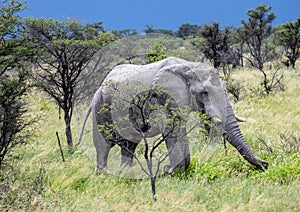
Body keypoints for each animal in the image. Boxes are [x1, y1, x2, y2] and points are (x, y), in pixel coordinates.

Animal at [79, 57, 268, 173]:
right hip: (100, 107)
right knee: (103, 145)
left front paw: (175, 169)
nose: (266, 163)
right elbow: (172, 131)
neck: (188, 66)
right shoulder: (162, 98)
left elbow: (179, 129)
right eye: (204, 93)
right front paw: (172, 171)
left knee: (130, 144)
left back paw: (126, 173)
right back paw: (104, 175)